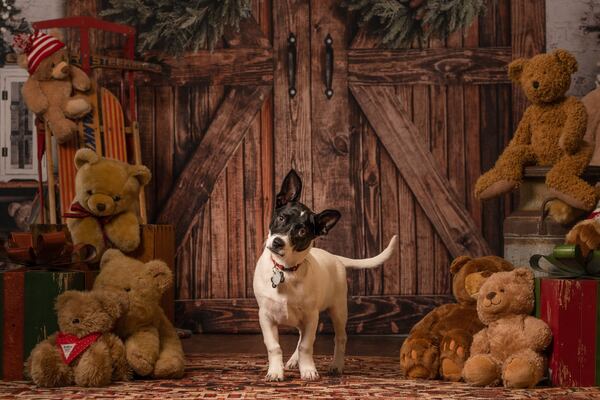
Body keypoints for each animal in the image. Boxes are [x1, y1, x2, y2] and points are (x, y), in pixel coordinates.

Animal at [253, 169, 398, 382]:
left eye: (302, 231)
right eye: (281, 219)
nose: (278, 242)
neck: (286, 270)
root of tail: (336, 258)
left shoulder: (311, 317)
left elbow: (306, 346)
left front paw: (308, 370)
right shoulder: (265, 316)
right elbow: (274, 347)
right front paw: (275, 371)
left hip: (338, 310)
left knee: (340, 338)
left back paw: (336, 365)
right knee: (300, 336)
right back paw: (294, 360)